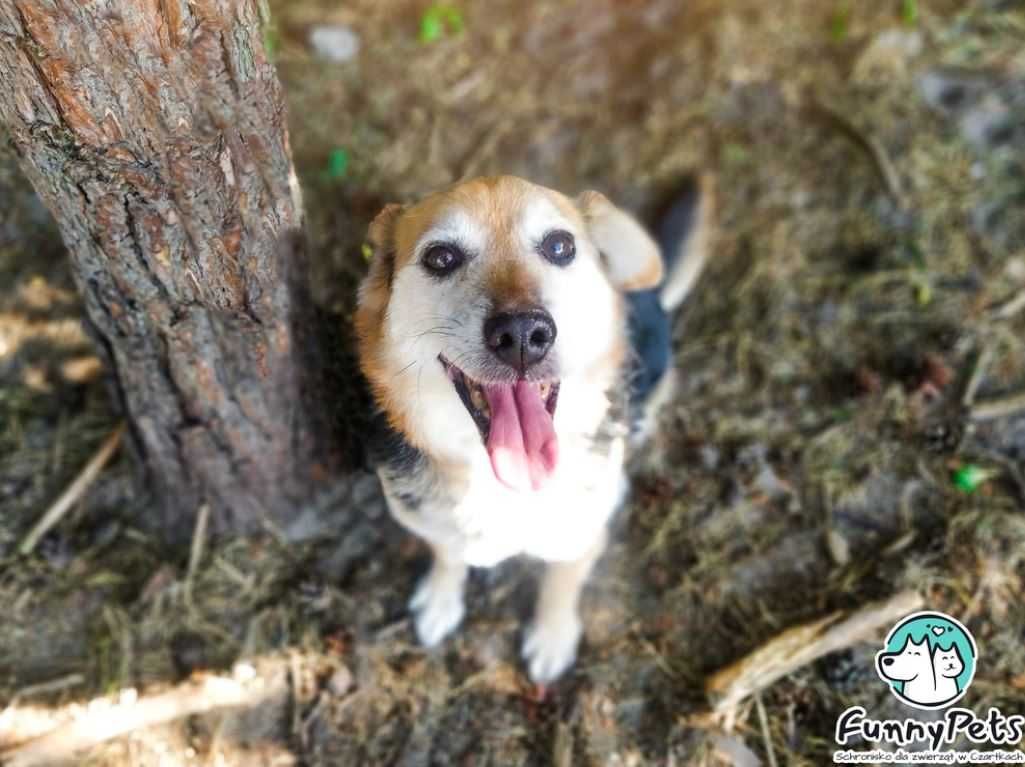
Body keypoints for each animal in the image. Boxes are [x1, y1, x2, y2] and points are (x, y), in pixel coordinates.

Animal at [356, 175, 709, 684]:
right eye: (441, 257)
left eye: (560, 246)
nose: (522, 334)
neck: (500, 483)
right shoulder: (430, 522)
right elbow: (448, 553)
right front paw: (442, 599)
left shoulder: (580, 537)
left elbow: (562, 582)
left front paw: (552, 636)